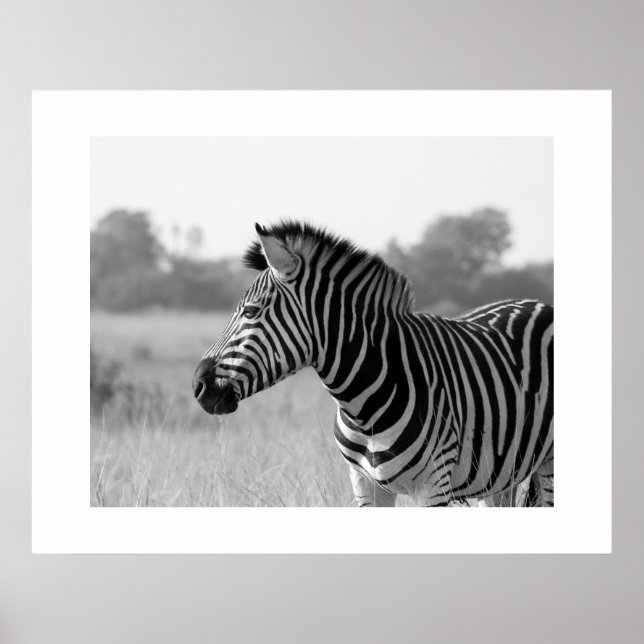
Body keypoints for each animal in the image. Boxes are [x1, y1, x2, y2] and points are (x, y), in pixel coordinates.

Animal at [192, 221, 553, 507]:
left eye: (251, 311)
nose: (197, 385)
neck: (363, 406)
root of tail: (537, 303)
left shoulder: (434, 486)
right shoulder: (364, 483)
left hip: (548, 465)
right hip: (499, 474)